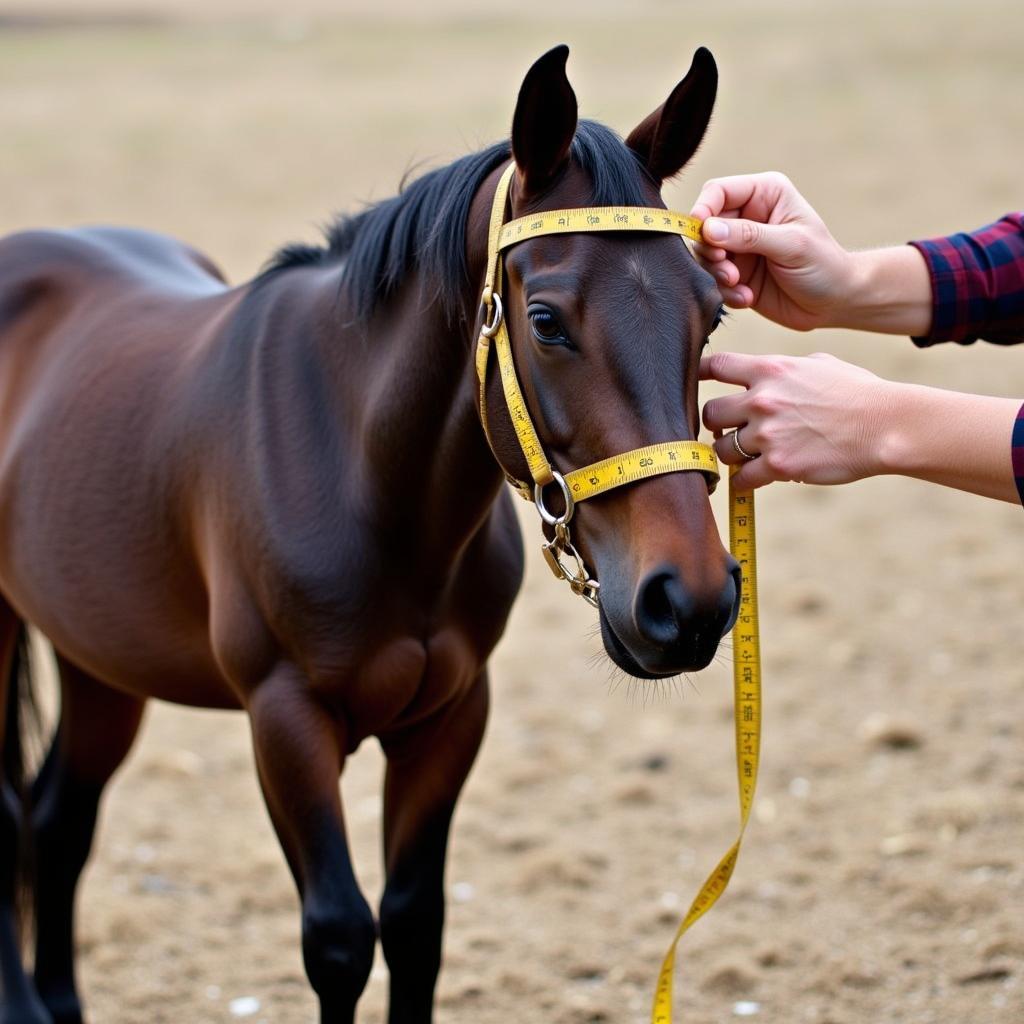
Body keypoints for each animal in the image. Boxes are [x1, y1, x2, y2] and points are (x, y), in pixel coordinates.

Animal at [0, 44, 737, 1019]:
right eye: (545, 320)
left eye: (712, 311)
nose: (688, 602)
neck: (366, 481)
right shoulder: (285, 719)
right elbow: (341, 937)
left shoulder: (450, 715)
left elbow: (415, 923)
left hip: (100, 652)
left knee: (58, 818)